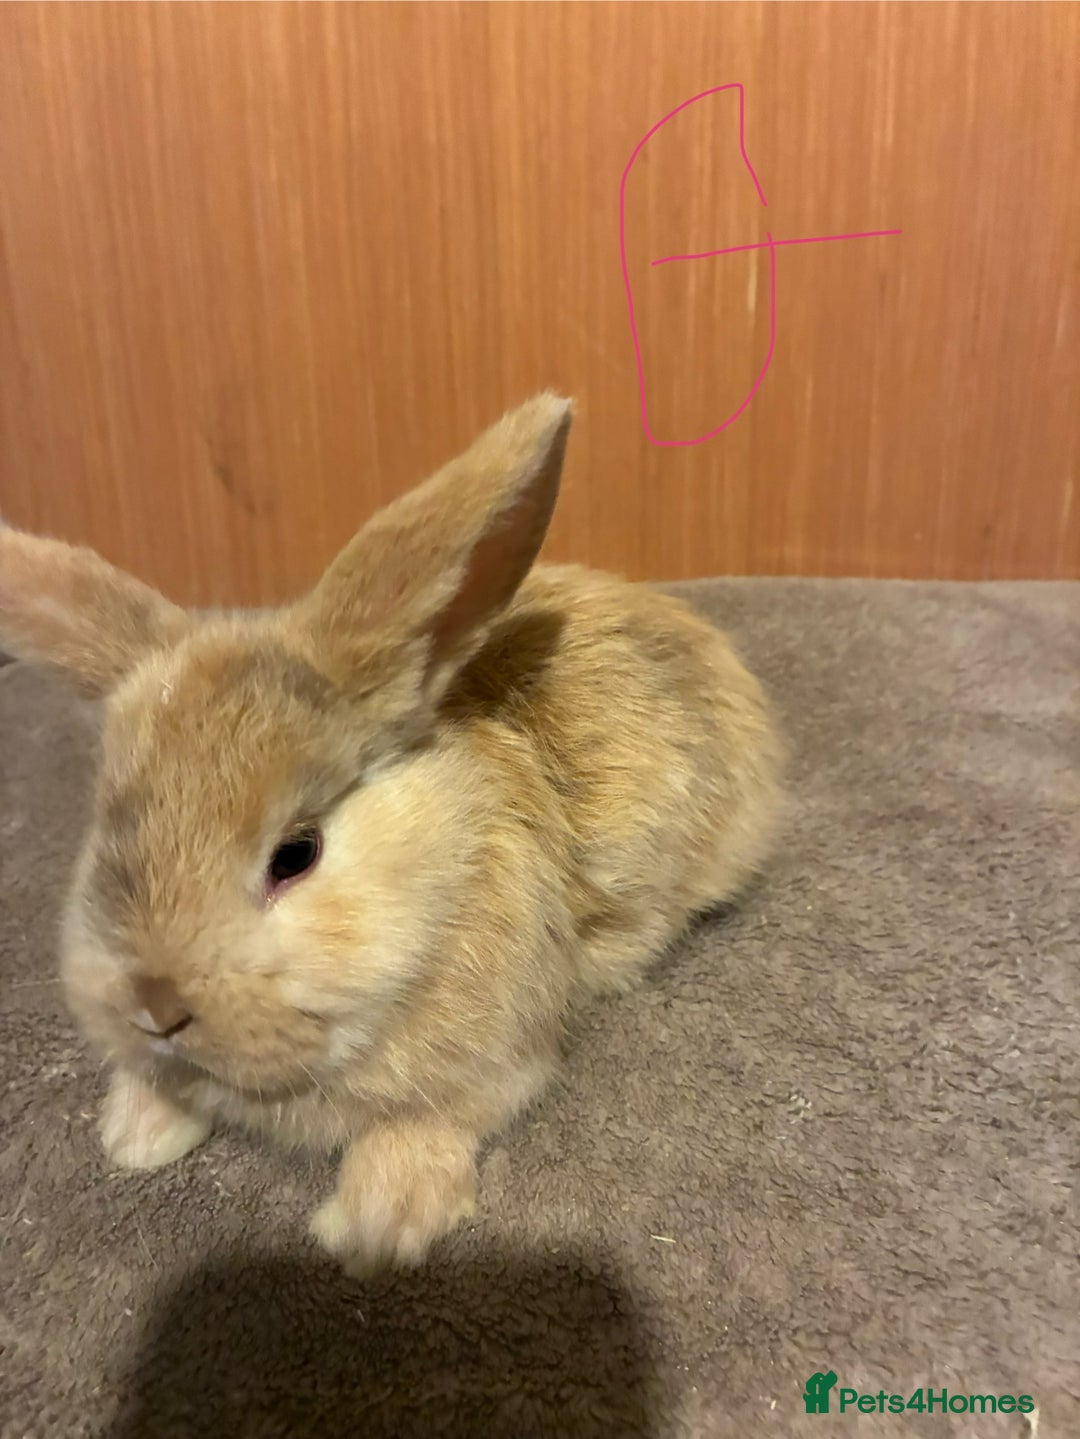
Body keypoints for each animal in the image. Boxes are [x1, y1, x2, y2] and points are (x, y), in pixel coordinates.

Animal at [0, 394, 783, 1274]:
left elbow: (425, 1123)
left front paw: (377, 1225)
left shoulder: (498, 1060)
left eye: (296, 854)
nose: (155, 1008)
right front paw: (137, 1133)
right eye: (107, 825)